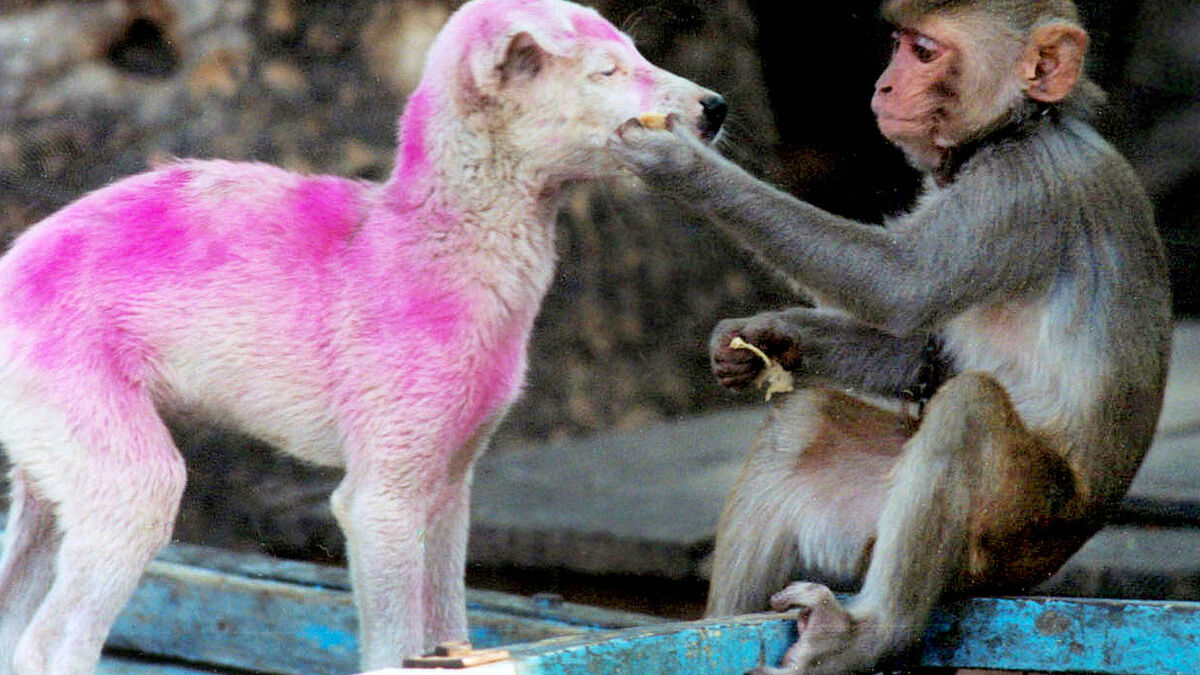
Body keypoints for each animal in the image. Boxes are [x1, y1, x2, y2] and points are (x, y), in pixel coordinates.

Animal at [608, 1, 1172, 673]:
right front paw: (769, 337)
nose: (883, 87)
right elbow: (918, 348)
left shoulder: (1021, 191)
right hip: (868, 527)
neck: (1020, 129)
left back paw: (871, 632)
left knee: (968, 409)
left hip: (1015, 535)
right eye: (899, 43)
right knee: (804, 422)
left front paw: (681, 164)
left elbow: (901, 286)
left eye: (924, 53)